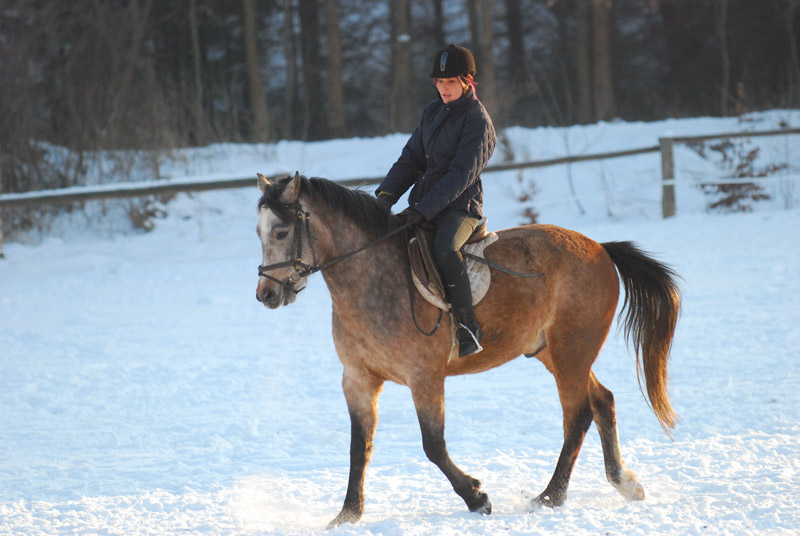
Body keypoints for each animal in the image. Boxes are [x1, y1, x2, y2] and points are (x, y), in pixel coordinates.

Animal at [256, 173, 680, 528]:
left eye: (281, 231)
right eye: (258, 233)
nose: (266, 295)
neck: (371, 280)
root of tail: (600, 249)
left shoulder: (425, 377)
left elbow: (433, 446)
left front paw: (477, 497)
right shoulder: (358, 380)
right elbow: (358, 448)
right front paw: (347, 515)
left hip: (570, 350)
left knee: (577, 416)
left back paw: (549, 497)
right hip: (554, 352)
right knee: (602, 400)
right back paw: (625, 483)